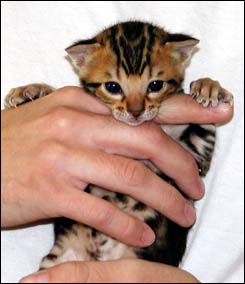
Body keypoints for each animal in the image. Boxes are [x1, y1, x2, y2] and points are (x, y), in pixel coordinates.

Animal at [4, 21, 233, 268]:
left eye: (155, 85)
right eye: (113, 87)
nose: (136, 112)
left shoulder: (196, 160)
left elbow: (205, 127)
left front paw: (209, 87)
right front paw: (32, 90)